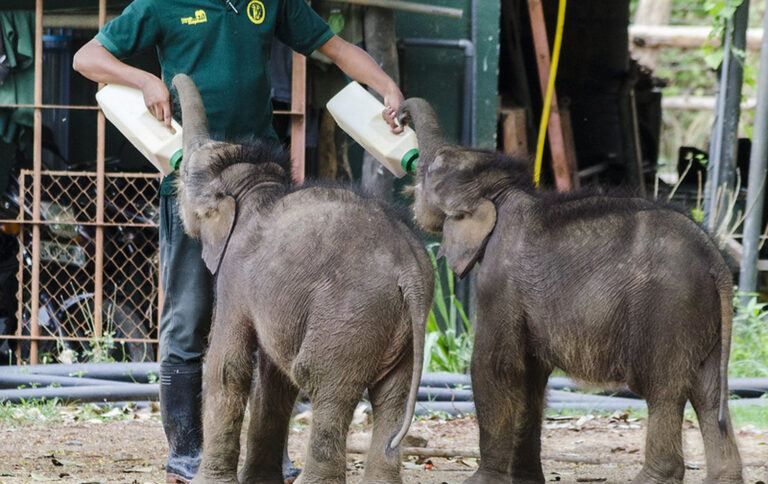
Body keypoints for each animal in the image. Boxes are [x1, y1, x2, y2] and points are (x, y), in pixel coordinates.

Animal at [398, 98, 743, 484]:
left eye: (431, 169)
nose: (397, 115)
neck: (503, 193)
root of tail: (715, 259)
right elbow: (532, 375)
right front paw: (526, 480)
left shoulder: (498, 281)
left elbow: (495, 366)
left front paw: (482, 481)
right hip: (704, 318)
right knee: (710, 394)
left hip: (670, 309)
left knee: (663, 389)